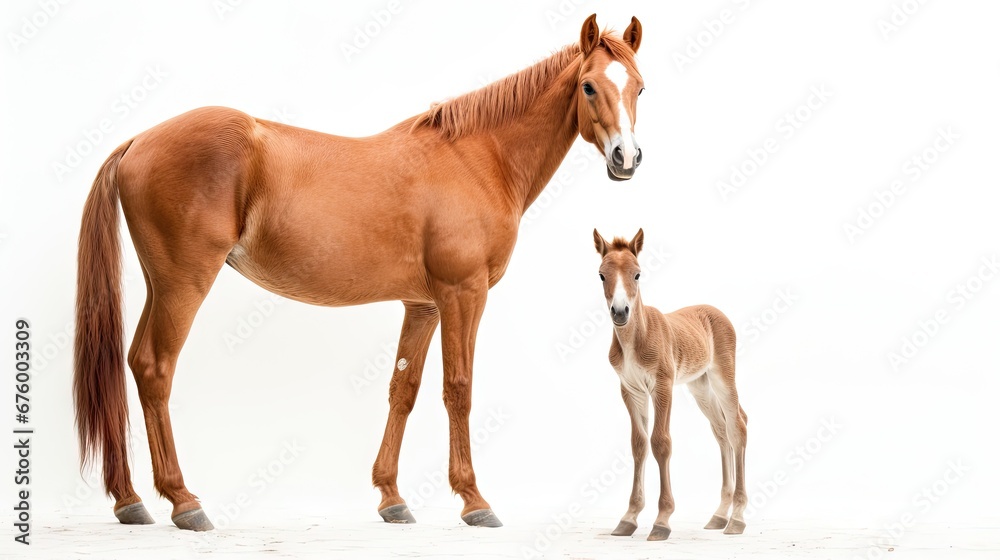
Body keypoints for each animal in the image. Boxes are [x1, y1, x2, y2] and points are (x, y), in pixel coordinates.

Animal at [74, 13, 644, 528]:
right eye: (589, 85)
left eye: (639, 85)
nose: (626, 158)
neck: (478, 158)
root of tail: (138, 141)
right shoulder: (463, 294)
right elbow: (458, 387)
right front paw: (474, 501)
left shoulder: (424, 304)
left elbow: (403, 389)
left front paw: (392, 498)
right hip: (184, 284)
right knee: (155, 367)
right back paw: (183, 501)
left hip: (160, 284)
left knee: (133, 362)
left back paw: (130, 500)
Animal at [588, 230, 748, 540]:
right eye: (601, 275)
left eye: (637, 274)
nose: (620, 312)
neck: (635, 338)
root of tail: (715, 311)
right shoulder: (631, 391)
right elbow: (638, 444)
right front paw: (629, 517)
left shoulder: (662, 386)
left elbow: (660, 442)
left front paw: (662, 520)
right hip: (700, 386)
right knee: (721, 430)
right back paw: (719, 515)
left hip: (723, 377)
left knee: (737, 427)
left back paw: (737, 517)